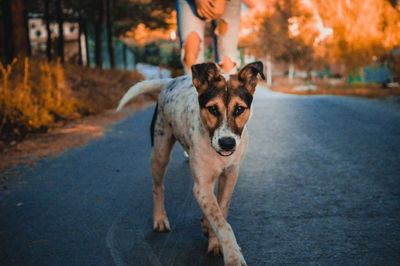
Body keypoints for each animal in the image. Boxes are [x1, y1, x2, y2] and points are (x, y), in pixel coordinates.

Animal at [116, 61, 266, 264]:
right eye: (212, 109)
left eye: (239, 109)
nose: (227, 143)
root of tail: (171, 81)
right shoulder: (201, 185)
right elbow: (222, 223)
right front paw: (233, 255)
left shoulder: (230, 175)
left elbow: (221, 211)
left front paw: (214, 241)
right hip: (160, 152)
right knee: (158, 187)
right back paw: (160, 219)